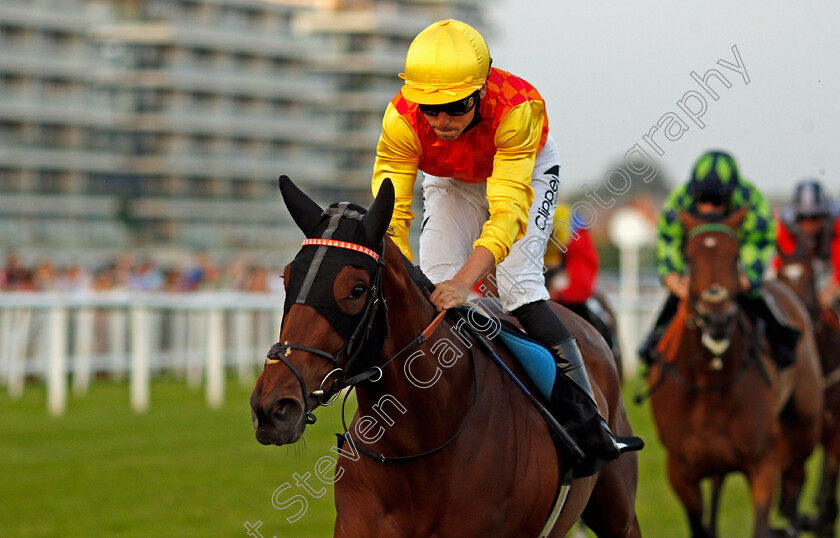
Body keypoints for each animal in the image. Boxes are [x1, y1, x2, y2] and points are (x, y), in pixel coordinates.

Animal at [648, 207, 820, 532]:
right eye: (690, 257)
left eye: (735, 255)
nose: (717, 319)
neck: (710, 382)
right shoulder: (680, 471)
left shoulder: (763, 462)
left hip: (803, 421)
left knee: (795, 481)